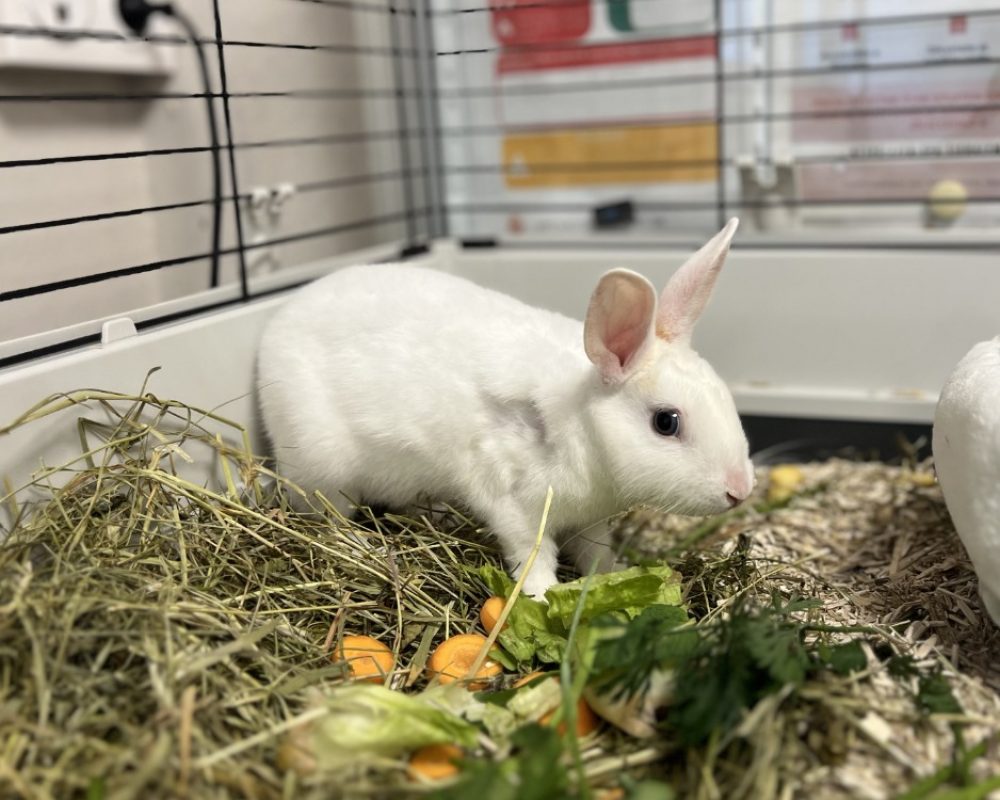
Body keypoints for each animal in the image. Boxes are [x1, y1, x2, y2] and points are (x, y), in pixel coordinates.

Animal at [257, 218, 754, 598]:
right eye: (666, 422)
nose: (740, 491)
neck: (579, 424)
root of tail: (277, 323)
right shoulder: (514, 505)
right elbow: (531, 553)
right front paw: (541, 595)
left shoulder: (590, 522)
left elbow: (596, 552)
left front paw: (613, 576)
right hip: (323, 471)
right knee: (328, 520)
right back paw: (370, 549)